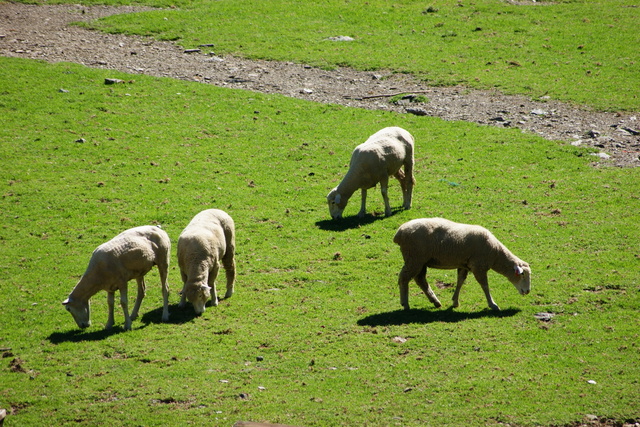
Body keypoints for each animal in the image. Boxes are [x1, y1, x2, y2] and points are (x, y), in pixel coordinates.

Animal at [392, 219, 532, 312]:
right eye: (522, 275)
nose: (528, 291)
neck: (495, 253)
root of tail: (399, 233)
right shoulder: (479, 266)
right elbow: (485, 286)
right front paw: (492, 304)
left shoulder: (464, 265)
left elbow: (460, 281)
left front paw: (455, 301)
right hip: (414, 258)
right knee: (404, 278)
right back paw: (405, 304)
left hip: (420, 261)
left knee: (420, 279)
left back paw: (435, 301)